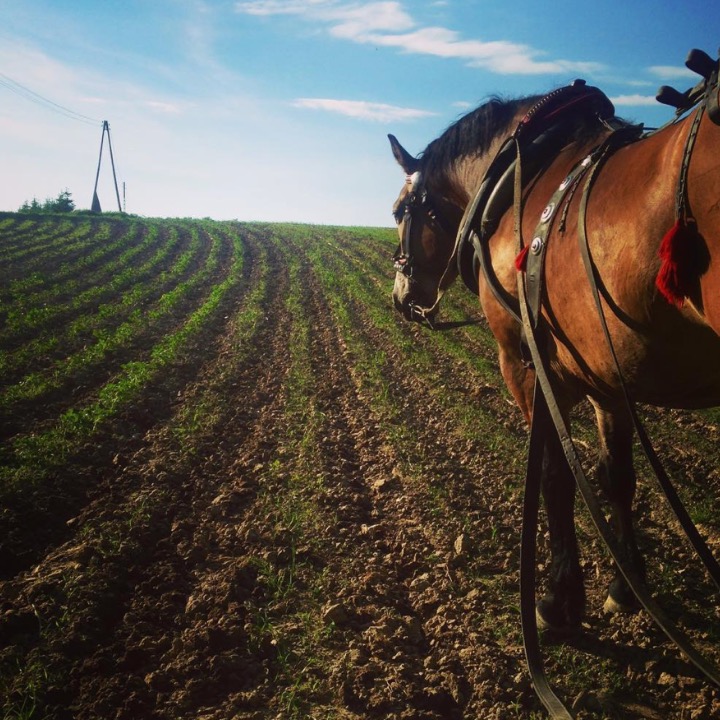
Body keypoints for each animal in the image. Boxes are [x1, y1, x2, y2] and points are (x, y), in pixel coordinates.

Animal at [390, 57, 720, 640]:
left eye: (400, 210)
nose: (400, 297)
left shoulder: (527, 365)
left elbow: (554, 476)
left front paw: (560, 599)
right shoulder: (605, 371)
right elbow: (617, 477)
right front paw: (625, 587)